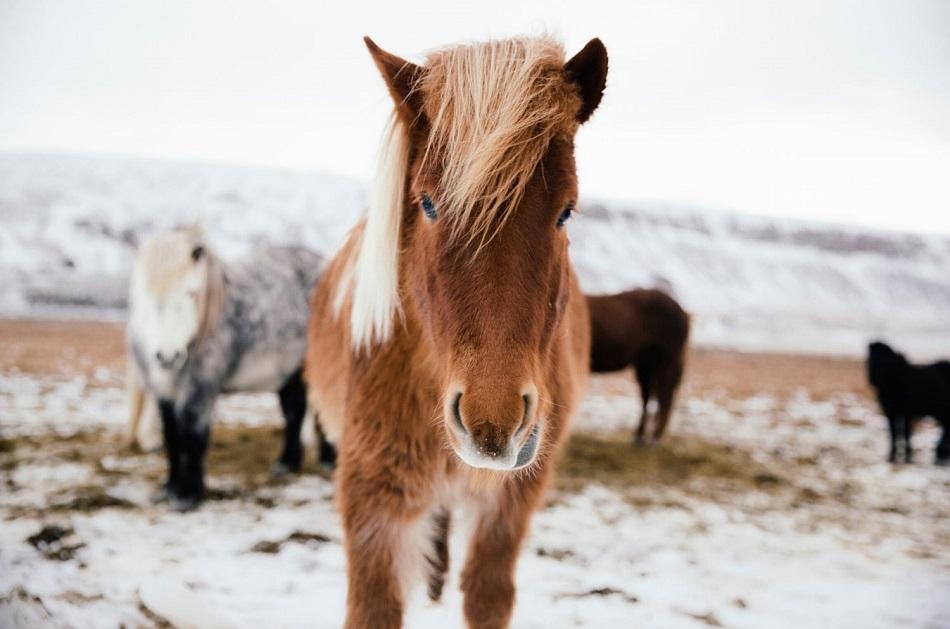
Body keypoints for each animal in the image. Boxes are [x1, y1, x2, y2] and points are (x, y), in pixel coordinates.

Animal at [126, 226, 334, 510]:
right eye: (146, 295)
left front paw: (187, 496)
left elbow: (193, 438)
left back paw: (327, 460)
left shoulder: (200, 392)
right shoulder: (165, 394)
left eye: (191, 293)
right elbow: (172, 438)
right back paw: (286, 464)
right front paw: (169, 489)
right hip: (291, 371)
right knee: (295, 411)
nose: (168, 356)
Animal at [588, 288, 692, 444]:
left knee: (664, 398)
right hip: (647, 366)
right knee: (649, 398)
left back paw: (654, 438)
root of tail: (682, 312)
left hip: (664, 364)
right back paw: (640, 436)